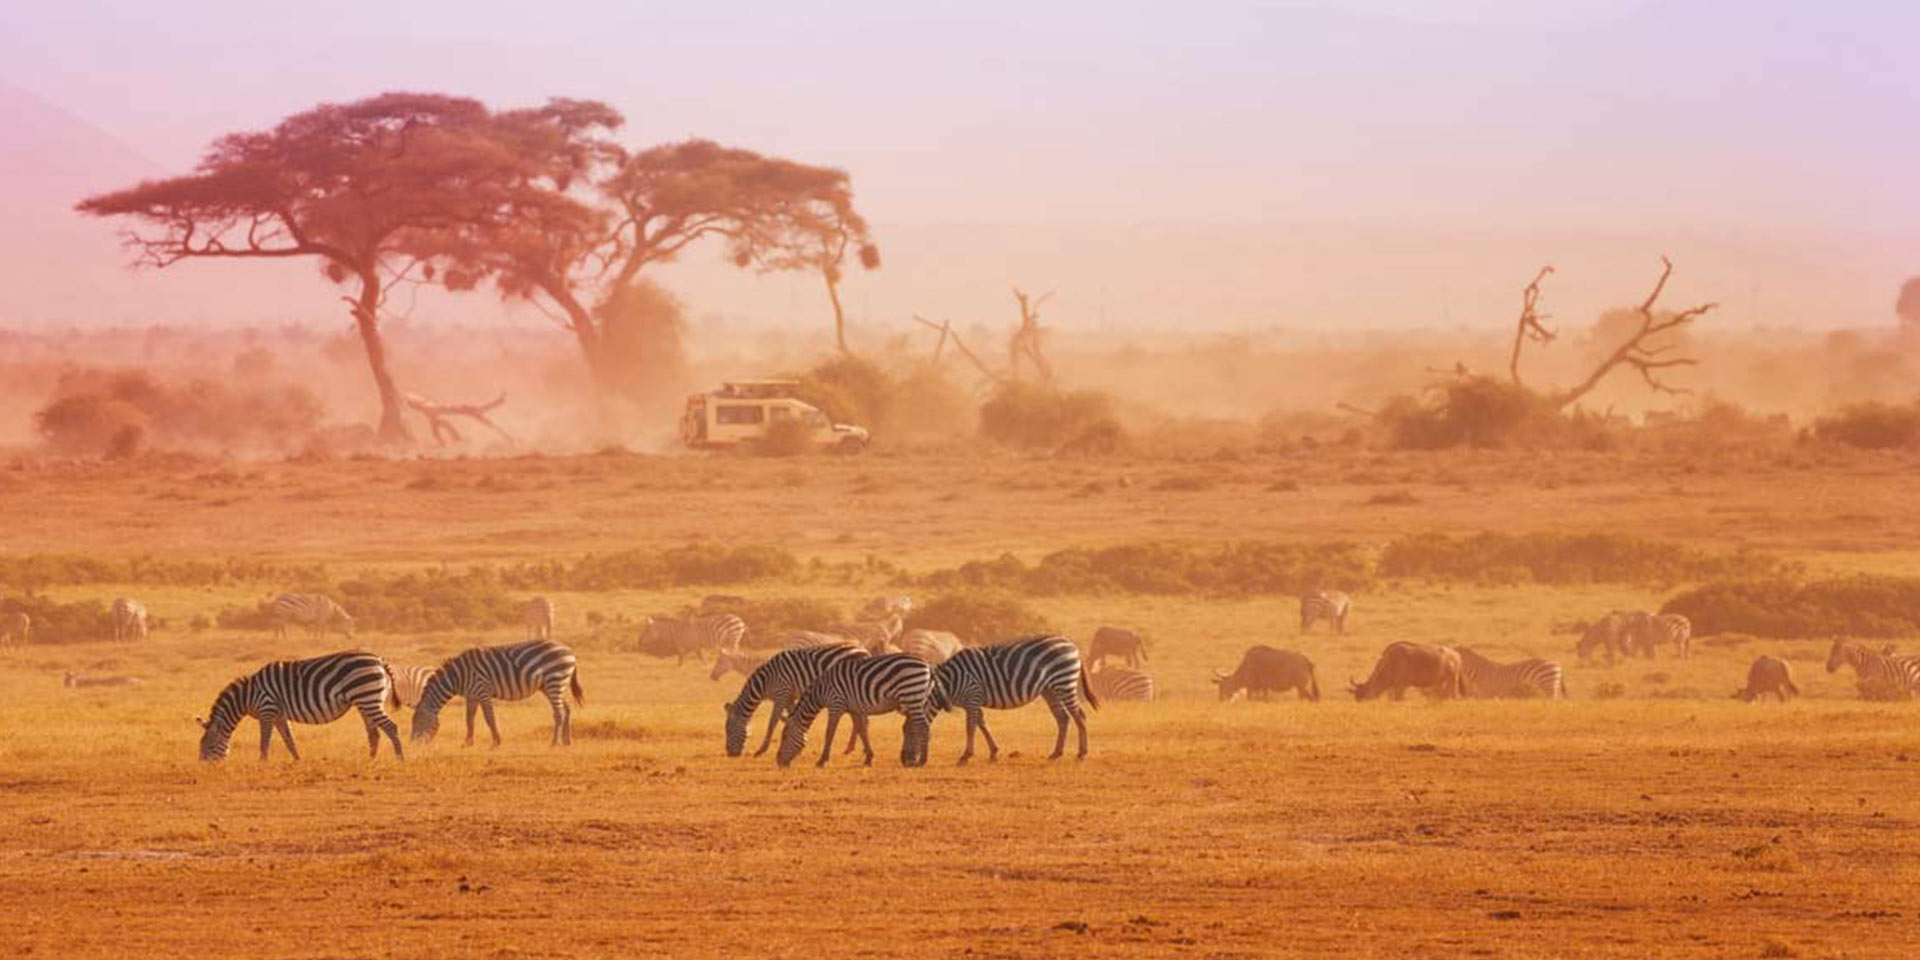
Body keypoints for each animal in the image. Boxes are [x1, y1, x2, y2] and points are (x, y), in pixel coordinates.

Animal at [196, 650, 403, 762]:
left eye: (209, 746)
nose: (204, 771)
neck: (248, 696)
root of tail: (379, 659)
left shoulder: (267, 709)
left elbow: (264, 740)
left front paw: (262, 763)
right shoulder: (279, 715)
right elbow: (289, 740)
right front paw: (297, 761)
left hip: (368, 697)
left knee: (391, 727)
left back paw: (400, 759)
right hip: (366, 701)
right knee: (374, 733)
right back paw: (370, 760)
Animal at [412, 640, 584, 748]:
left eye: (419, 722)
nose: (412, 745)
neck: (458, 676)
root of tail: (569, 650)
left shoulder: (483, 691)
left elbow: (489, 718)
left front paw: (496, 742)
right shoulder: (471, 696)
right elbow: (469, 720)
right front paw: (467, 743)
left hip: (554, 681)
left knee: (558, 713)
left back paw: (554, 742)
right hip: (554, 685)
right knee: (567, 709)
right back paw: (567, 741)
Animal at [724, 644, 870, 758]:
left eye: (729, 731)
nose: (730, 754)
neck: (766, 682)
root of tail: (863, 649)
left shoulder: (782, 693)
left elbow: (773, 722)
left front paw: (761, 750)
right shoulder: (788, 697)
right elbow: (791, 716)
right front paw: (798, 745)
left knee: (861, 720)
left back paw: (856, 748)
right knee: (859, 720)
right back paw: (852, 748)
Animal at [777, 653, 933, 768]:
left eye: (785, 737)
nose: (778, 762)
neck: (820, 692)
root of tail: (927, 665)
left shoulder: (836, 704)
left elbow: (829, 733)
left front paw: (822, 761)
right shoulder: (855, 709)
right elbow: (862, 731)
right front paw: (869, 758)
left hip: (911, 695)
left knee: (923, 726)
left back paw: (922, 761)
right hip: (916, 700)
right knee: (915, 726)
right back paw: (914, 759)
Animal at [929, 635, 1097, 764]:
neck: (950, 682)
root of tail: (1072, 644)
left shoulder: (972, 696)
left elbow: (970, 727)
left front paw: (966, 756)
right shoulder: (973, 701)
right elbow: (982, 724)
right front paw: (993, 752)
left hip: (1064, 681)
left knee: (1079, 716)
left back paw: (1081, 754)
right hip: (1050, 689)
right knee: (1063, 717)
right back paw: (1056, 753)